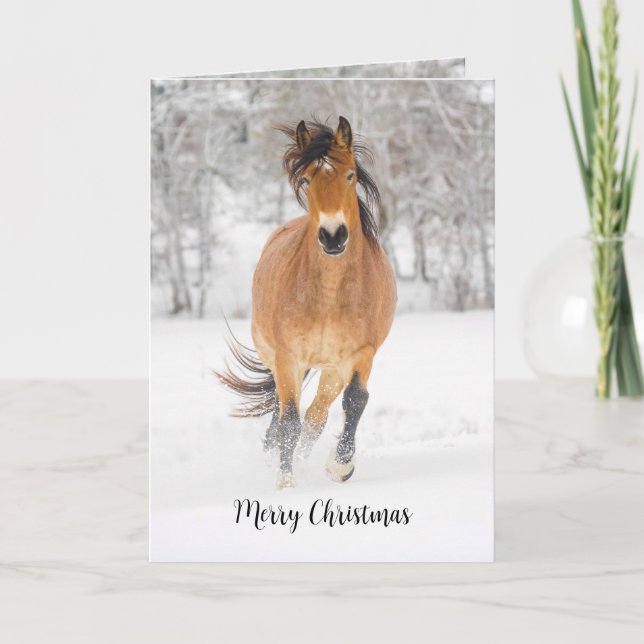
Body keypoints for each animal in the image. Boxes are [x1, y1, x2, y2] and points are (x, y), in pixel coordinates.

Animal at [217, 116, 397, 488]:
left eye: (350, 175)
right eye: (306, 179)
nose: (333, 235)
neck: (330, 294)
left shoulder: (360, 354)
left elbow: (355, 400)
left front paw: (341, 465)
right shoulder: (289, 357)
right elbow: (288, 421)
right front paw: (285, 482)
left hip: (330, 370)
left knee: (316, 415)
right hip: (279, 359)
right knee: (283, 413)